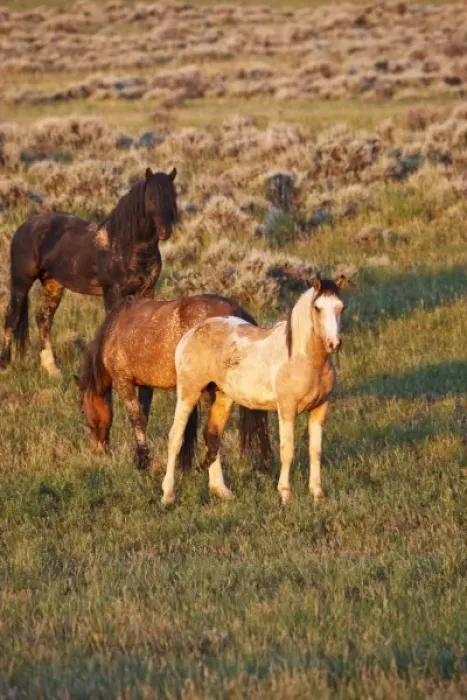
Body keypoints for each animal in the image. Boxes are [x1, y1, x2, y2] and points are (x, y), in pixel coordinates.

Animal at [0, 167, 177, 379]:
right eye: (150, 197)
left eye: (173, 196)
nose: (165, 231)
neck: (126, 245)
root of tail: (25, 227)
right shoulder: (113, 292)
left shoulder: (147, 290)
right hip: (21, 282)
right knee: (12, 316)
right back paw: (5, 366)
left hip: (53, 284)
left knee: (43, 318)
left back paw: (52, 369)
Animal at [75, 294, 271, 483]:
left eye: (84, 413)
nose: (98, 451)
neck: (114, 329)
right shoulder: (146, 385)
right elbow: (145, 417)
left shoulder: (123, 381)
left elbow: (136, 419)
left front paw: (142, 461)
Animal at [161, 276, 346, 506]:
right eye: (317, 308)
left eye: (341, 307)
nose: (334, 343)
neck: (303, 359)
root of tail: (191, 333)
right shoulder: (286, 410)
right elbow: (287, 450)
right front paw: (285, 494)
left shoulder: (320, 409)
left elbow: (316, 451)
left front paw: (318, 495)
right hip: (189, 393)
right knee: (175, 438)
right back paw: (168, 495)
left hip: (222, 398)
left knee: (212, 436)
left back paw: (221, 490)